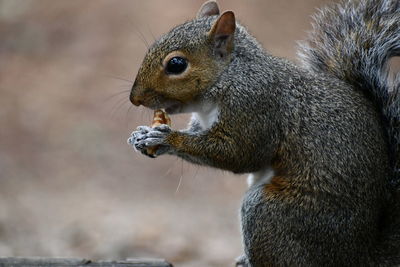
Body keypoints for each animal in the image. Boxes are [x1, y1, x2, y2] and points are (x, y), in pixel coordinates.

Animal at [127, 0, 400, 266]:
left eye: (176, 64)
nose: (134, 99)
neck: (229, 76)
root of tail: (359, 254)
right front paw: (142, 135)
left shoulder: (254, 108)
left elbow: (240, 155)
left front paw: (165, 138)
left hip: (271, 213)